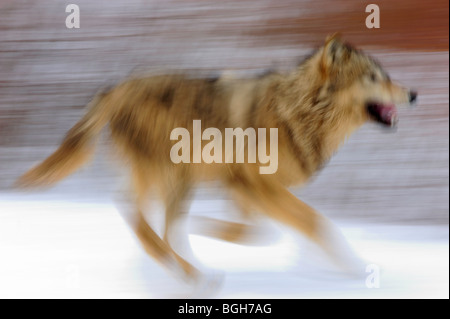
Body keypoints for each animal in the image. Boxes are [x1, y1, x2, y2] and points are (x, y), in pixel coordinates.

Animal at [16, 36, 418, 284]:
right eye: (373, 78)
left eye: (386, 75)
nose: (414, 93)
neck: (298, 112)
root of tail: (116, 87)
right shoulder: (258, 186)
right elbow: (316, 224)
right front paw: (356, 269)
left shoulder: (244, 189)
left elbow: (259, 232)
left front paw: (211, 229)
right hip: (178, 177)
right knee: (152, 223)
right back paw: (196, 278)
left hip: (175, 181)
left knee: (140, 215)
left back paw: (179, 267)